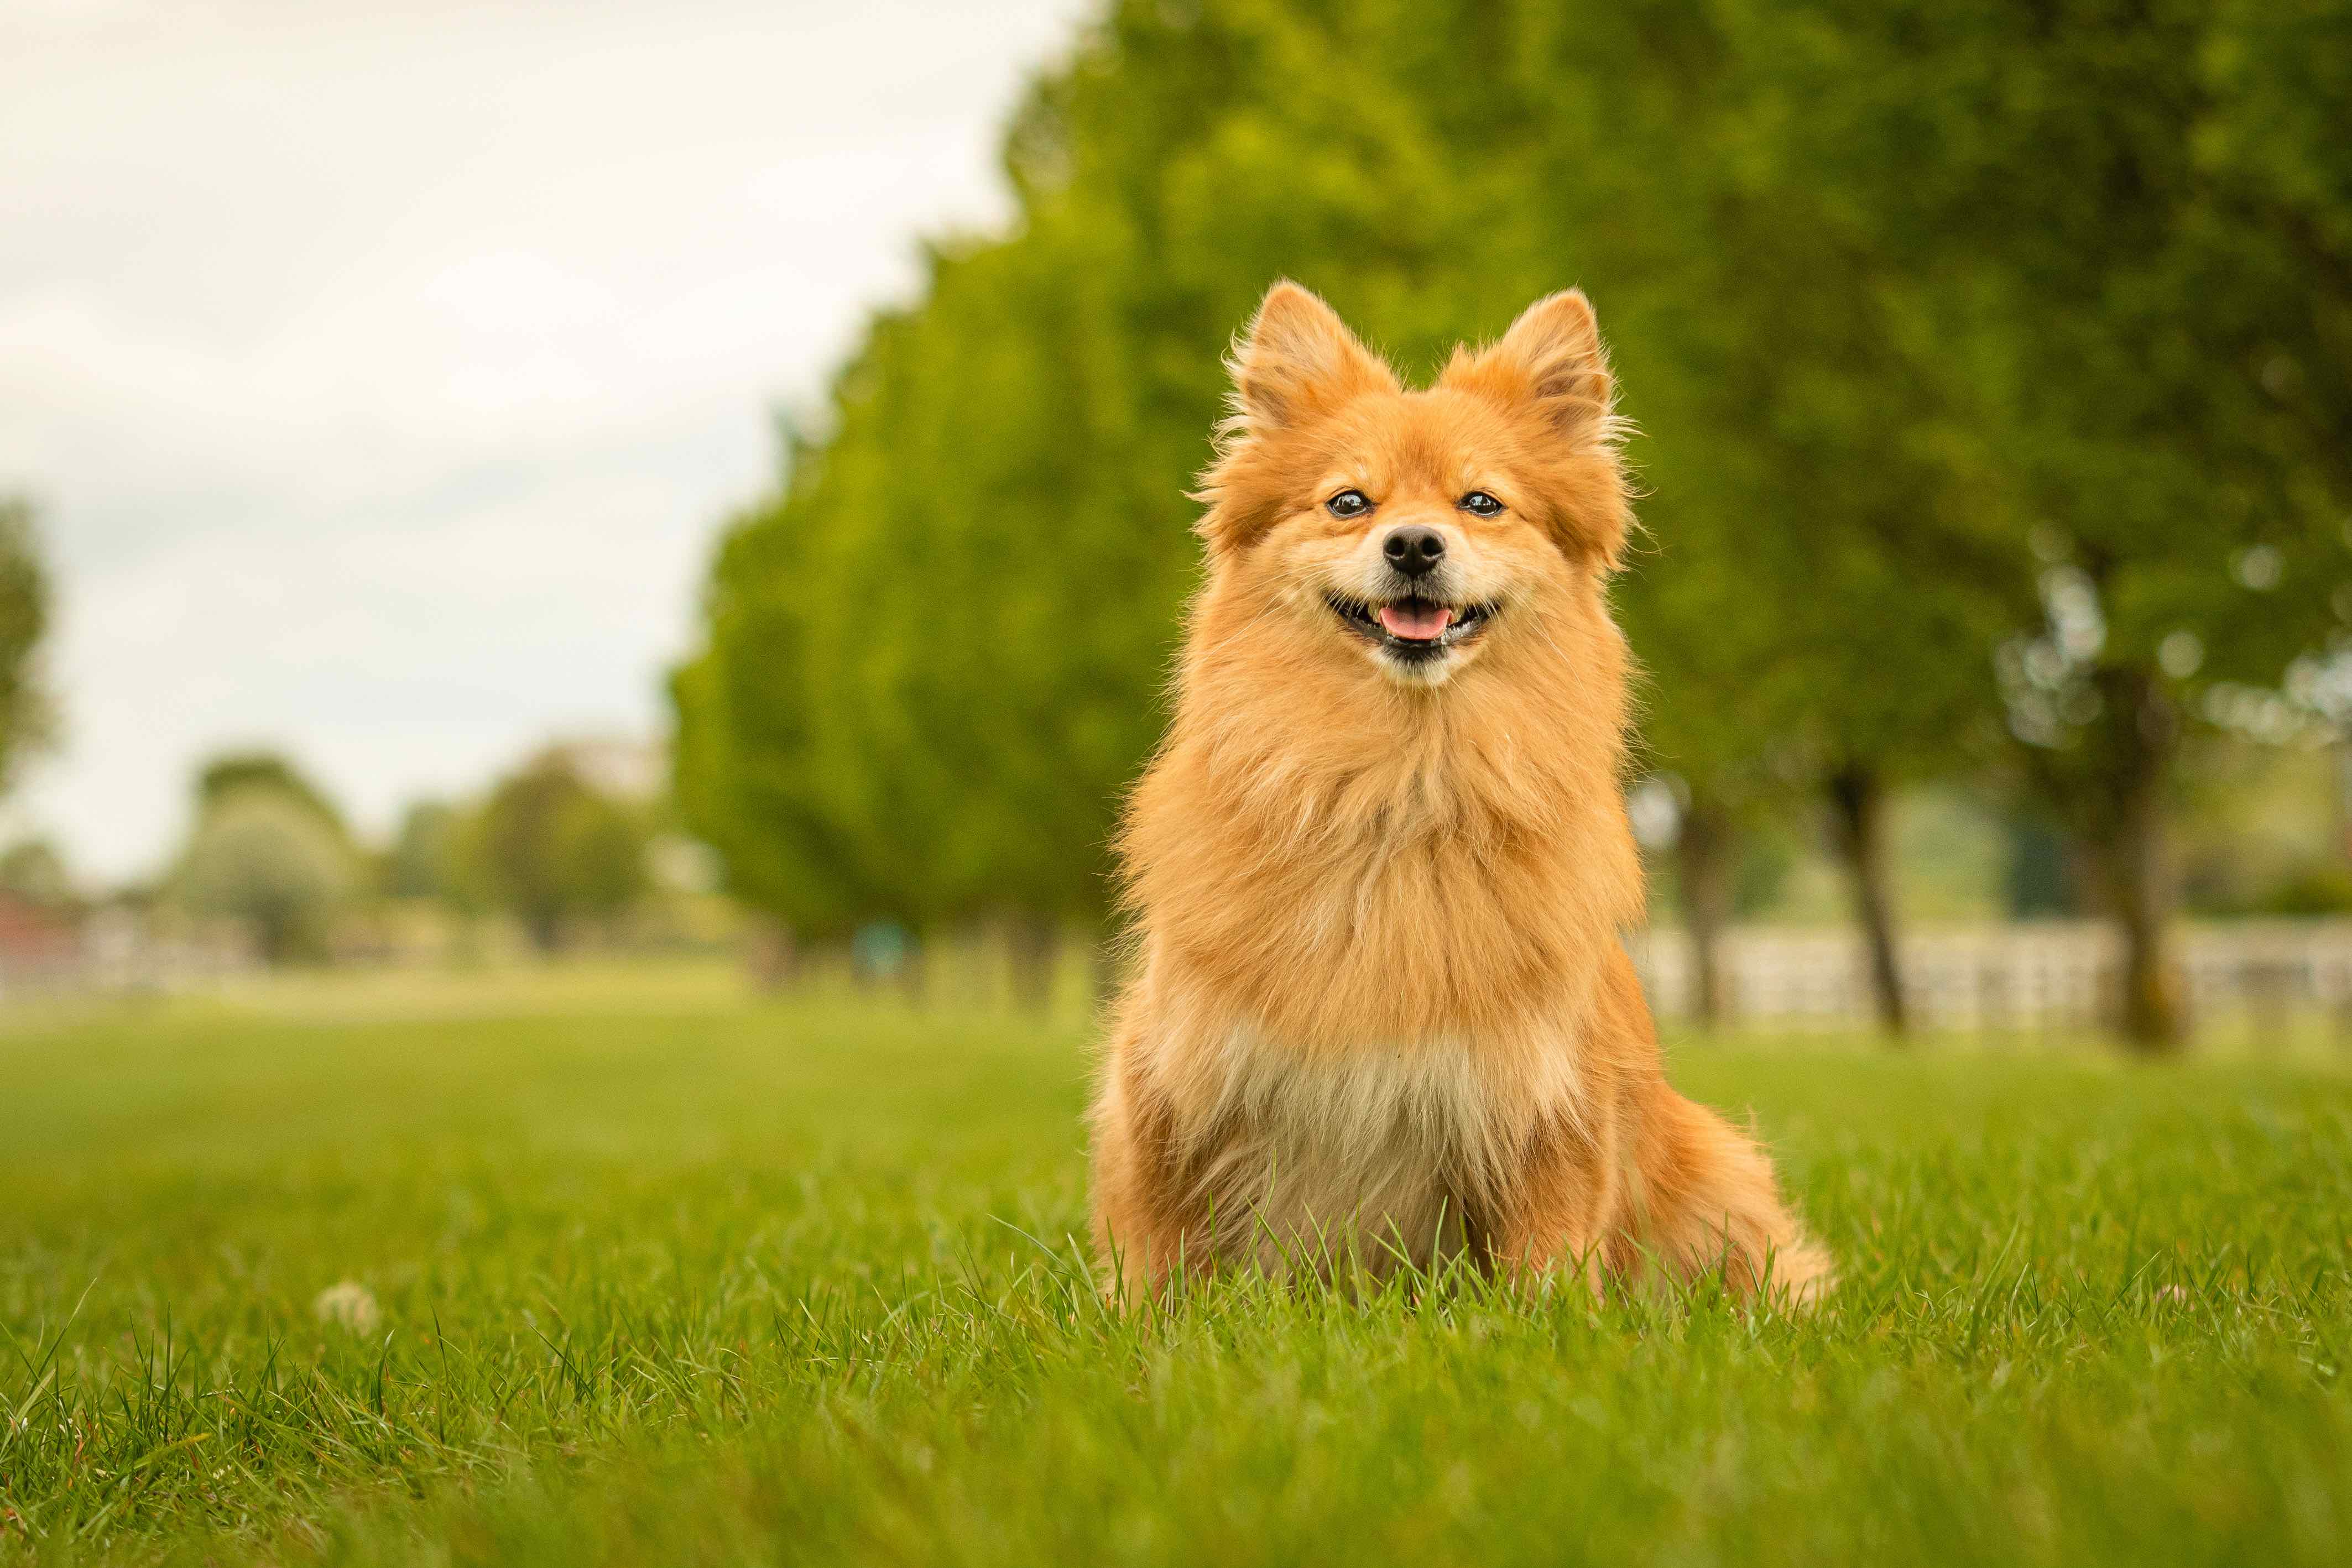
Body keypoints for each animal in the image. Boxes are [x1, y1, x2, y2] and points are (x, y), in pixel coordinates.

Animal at [1086, 285, 1834, 1316]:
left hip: (1711, 1166)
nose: (1412, 543)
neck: (1396, 787)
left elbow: (1544, 1265)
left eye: (1480, 502)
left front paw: (1543, 1330)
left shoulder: (1541, 1104)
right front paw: (1151, 1329)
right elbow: (1162, 1257)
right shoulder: (1171, 1085)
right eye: (1349, 503)